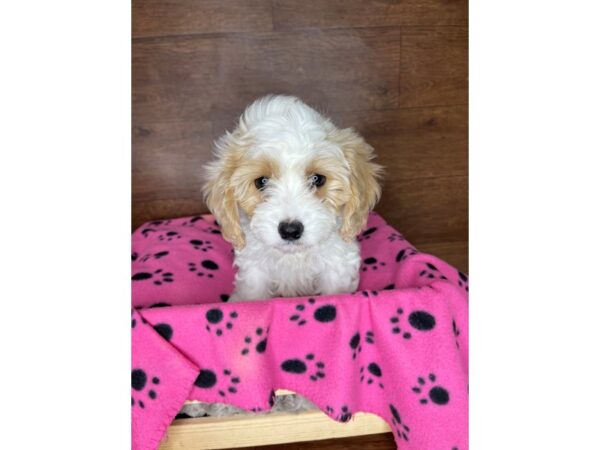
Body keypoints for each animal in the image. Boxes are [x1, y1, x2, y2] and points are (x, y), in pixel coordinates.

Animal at [202, 95, 380, 302]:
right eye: (261, 181)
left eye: (317, 179)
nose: (290, 230)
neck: (293, 256)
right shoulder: (255, 269)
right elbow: (254, 294)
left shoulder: (337, 264)